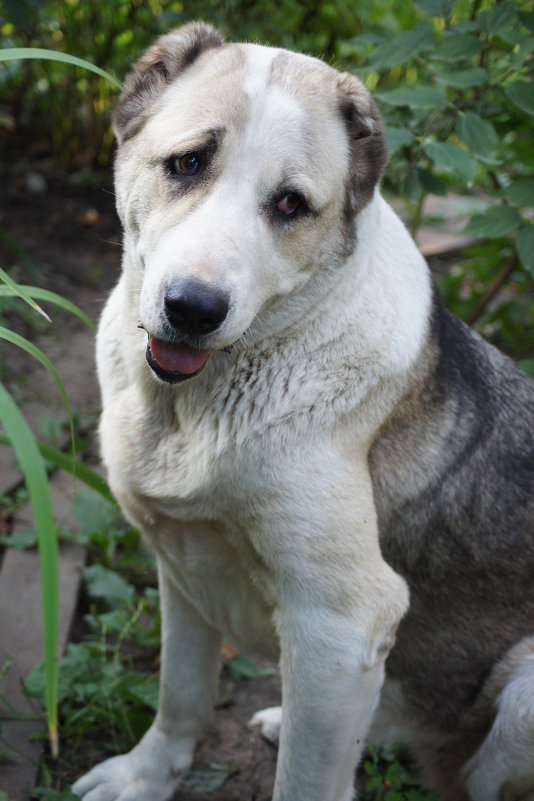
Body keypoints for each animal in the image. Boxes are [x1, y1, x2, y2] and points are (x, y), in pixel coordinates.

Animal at [73, 21, 534, 800]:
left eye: (290, 204)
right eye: (187, 162)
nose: (192, 309)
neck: (192, 407)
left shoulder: (342, 623)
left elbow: (303, 780)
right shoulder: (182, 566)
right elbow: (181, 694)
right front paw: (146, 775)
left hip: (521, 693)